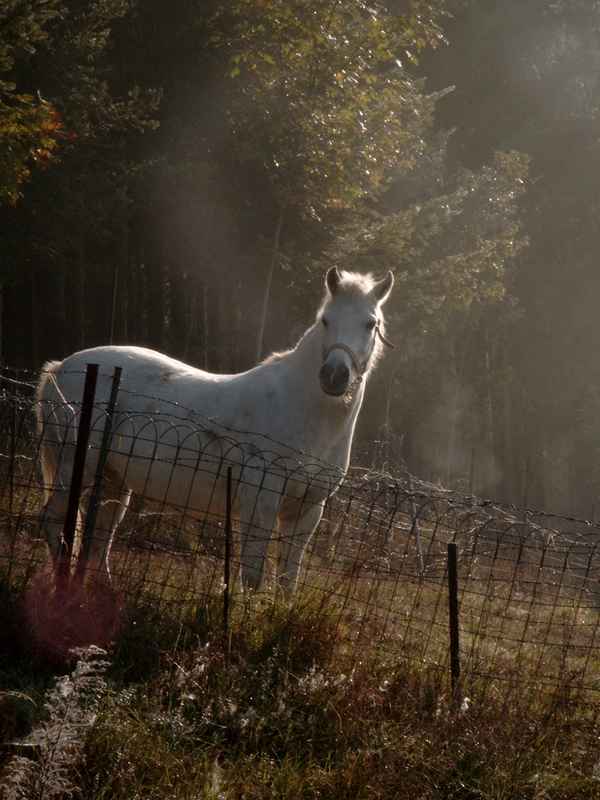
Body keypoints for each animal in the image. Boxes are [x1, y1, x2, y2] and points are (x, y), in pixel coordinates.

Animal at [35, 266, 394, 592]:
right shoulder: (261, 499)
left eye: (370, 324)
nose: (334, 376)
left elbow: (287, 581)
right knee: (56, 522)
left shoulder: (307, 510)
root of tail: (60, 368)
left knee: (99, 538)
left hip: (114, 481)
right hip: (76, 466)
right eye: (325, 321)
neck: (306, 412)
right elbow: (252, 575)